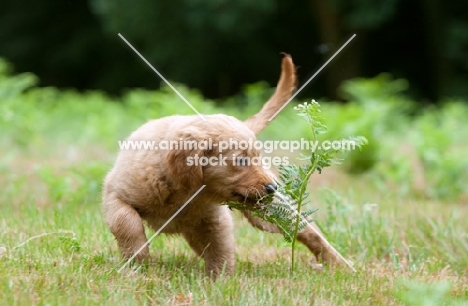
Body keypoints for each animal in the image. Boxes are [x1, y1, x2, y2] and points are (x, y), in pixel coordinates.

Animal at [102, 55, 340, 278]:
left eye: (258, 157)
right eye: (241, 161)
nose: (273, 188)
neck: (185, 191)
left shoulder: (215, 219)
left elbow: (220, 249)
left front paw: (220, 280)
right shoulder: (114, 194)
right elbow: (128, 224)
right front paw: (138, 266)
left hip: (273, 212)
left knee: (311, 233)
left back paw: (339, 266)